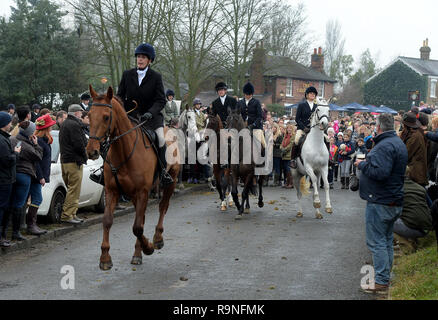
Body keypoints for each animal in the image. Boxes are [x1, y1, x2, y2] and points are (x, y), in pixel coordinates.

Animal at [85, 85, 180, 270]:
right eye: (89, 115)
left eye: (106, 117)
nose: (92, 151)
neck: (124, 151)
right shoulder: (112, 190)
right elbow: (107, 221)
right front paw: (105, 258)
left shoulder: (142, 191)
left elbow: (137, 227)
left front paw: (148, 247)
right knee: (141, 218)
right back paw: (138, 252)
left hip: (170, 180)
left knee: (162, 207)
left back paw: (157, 239)